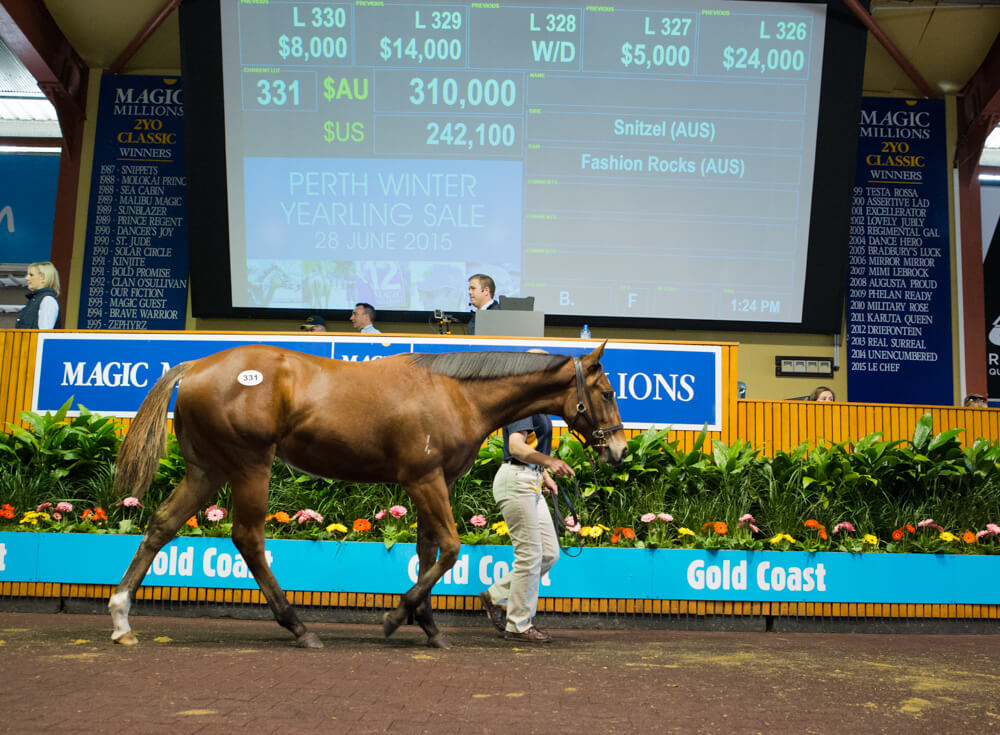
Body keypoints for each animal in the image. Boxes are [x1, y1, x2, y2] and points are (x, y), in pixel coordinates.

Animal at [109, 342, 624, 648]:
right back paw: (298, 626)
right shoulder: (424, 479)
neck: (453, 392)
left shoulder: (435, 482)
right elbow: (451, 548)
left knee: (162, 524)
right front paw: (395, 617)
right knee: (248, 537)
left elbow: (427, 550)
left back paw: (121, 619)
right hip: (250, 465)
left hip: (207, 469)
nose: (618, 449)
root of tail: (197, 365)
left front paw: (429, 627)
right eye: (606, 390)